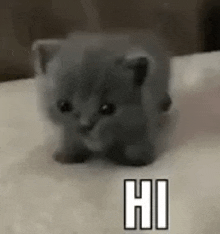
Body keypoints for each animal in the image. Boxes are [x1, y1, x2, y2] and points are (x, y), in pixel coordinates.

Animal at [31, 30, 171, 166]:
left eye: (107, 108)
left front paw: (135, 158)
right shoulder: (68, 129)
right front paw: (68, 154)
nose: (85, 126)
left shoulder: (143, 117)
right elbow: (70, 136)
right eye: (63, 106)